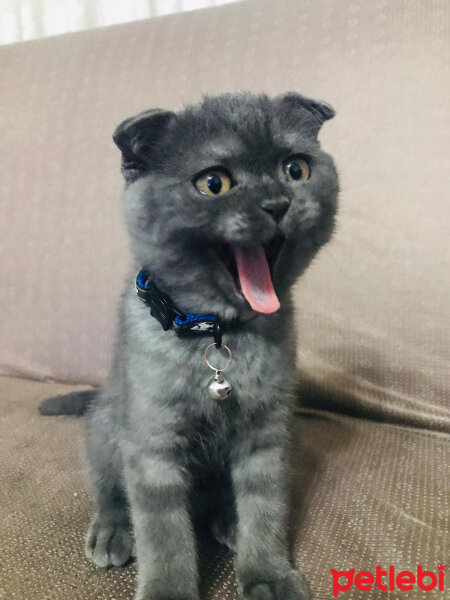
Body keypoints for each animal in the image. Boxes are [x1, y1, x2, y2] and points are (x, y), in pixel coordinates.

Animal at [40, 91, 340, 596]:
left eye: (296, 169)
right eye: (214, 183)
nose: (278, 203)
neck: (216, 335)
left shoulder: (267, 436)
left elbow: (266, 508)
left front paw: (269, 573)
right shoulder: (152, 446)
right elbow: (164, 533)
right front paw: (168, 589)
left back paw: (228, 522)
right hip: (104, 429)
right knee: (107, 490)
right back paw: (111, 532)